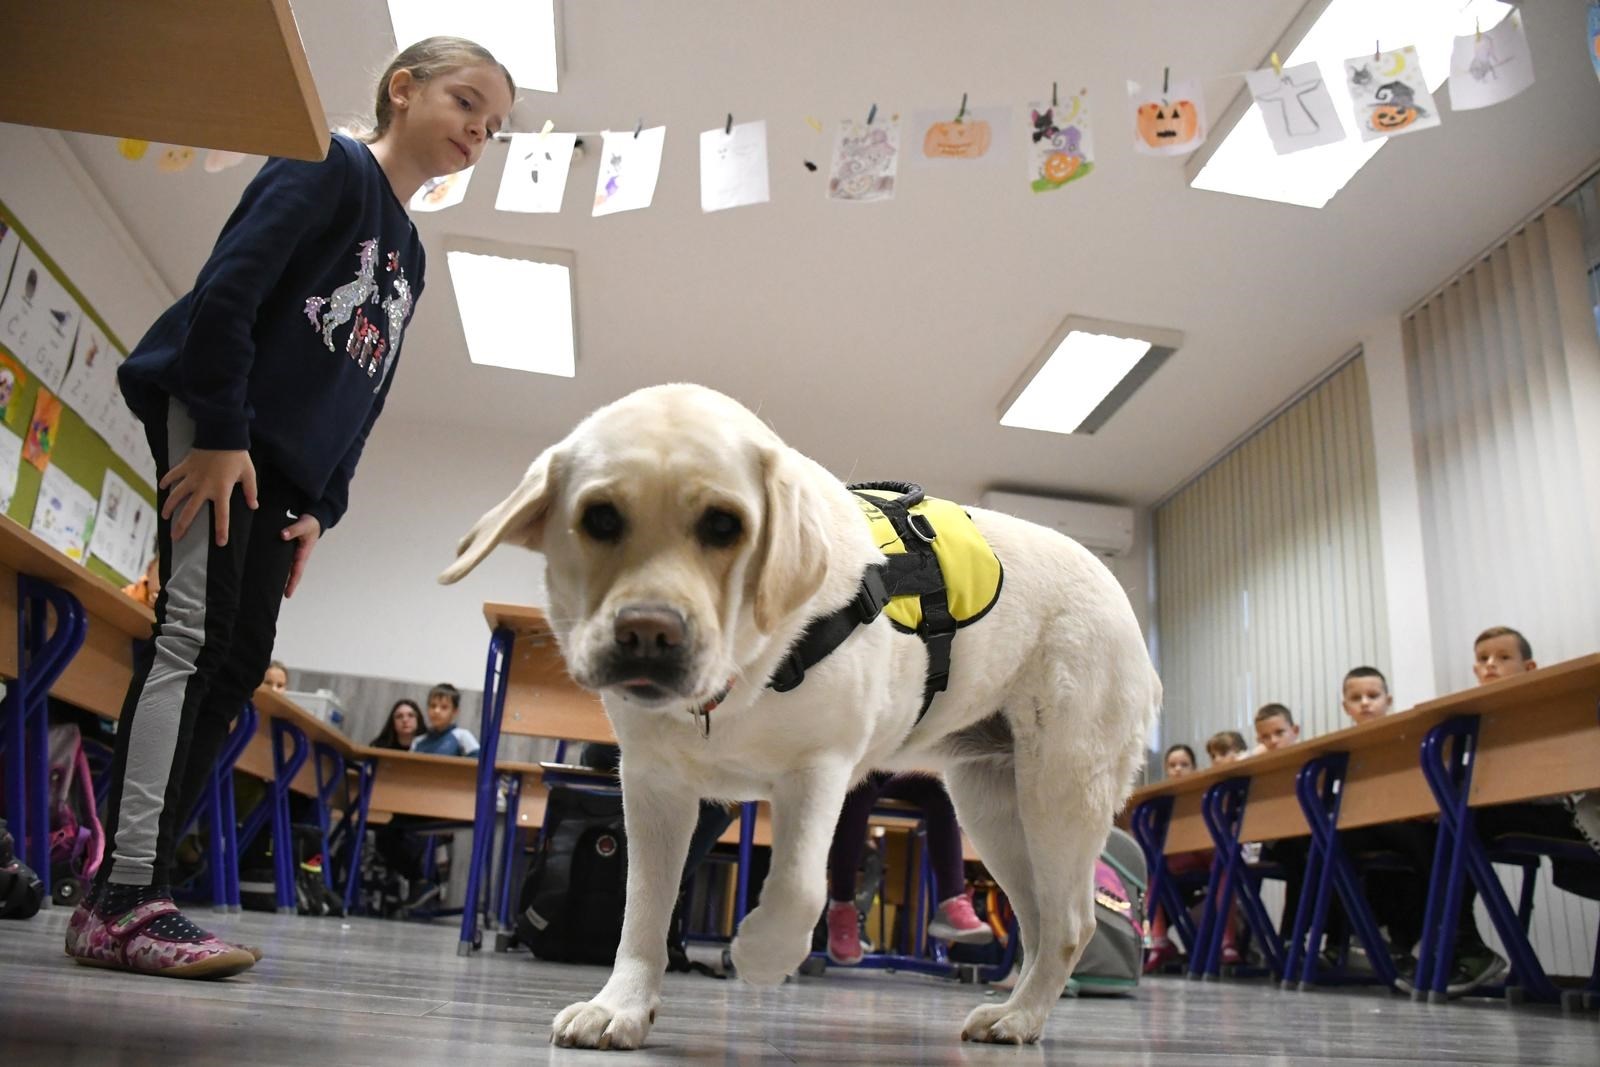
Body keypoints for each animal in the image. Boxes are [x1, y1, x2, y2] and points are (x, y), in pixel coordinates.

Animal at [444, 385, 1158, 1049]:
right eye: (599, 518)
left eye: (724, 526)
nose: (649, 634)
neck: (739, 682)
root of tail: (1127, 610)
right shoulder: (652, 787)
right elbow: (642, 908)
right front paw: (620, 1006)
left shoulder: (819, 770)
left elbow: (798, 886)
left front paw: (761, 953)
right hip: (992, 806)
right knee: (1039, 921)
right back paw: (1016, 1011)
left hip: (1058, 793)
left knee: (1071, 924)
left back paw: (1022, 1017)